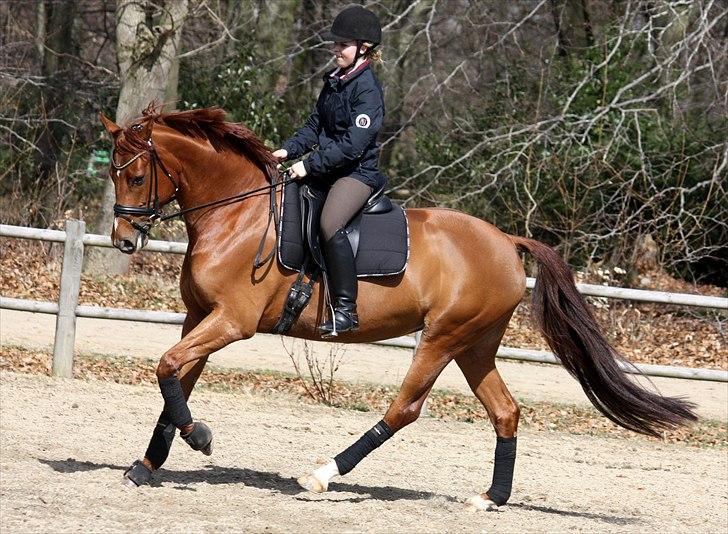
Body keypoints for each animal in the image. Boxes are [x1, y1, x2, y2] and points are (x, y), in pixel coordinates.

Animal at [99, 107, 696, 512]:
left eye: (136, 175)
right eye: (112, 173)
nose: (124, 240)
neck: (236, 215)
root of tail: (505, 240)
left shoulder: (231, 323)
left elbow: (167, 367)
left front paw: (198, 437)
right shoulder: (199, 317)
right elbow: (175, 377)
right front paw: (146, 465)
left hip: (442, 339)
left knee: (404, 409)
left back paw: (323, 474)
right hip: (475, 345)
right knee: (505, 411)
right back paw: (490, 498)